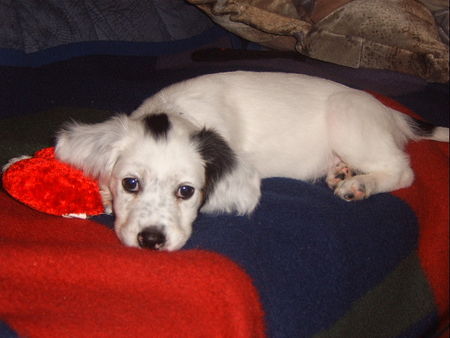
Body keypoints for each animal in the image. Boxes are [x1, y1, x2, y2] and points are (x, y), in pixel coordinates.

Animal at [54, 71, 448, 251]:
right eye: (130, 183)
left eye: (186, 191)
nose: (151, 241)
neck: (178, 110)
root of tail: (391, 112)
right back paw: (340, 171)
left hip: (347, 117)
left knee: (402, 170)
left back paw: (359, 183)